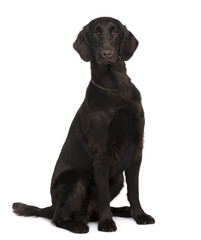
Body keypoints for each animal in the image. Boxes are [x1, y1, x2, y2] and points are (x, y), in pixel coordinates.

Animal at [12, 16, 155, 232]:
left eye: (115, 31)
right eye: (95, 32)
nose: (107, 53)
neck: (115, 86)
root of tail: (51, 204)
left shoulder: (136, 148)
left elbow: (134, 190)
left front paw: (139, 215)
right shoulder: (101, 152)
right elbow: (102, 193)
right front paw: (106, 223)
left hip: (117, 179)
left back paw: (121, 211)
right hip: (77, 179)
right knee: (58, 217)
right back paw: (79, 225)